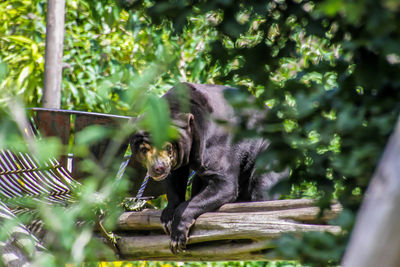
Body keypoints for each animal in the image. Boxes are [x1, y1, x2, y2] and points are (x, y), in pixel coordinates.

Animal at [130, 82, 286, 254]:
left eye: (167, 147)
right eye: (144, 149)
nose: (159, 168)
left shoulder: (216, 141)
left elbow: (224, 185)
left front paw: (177, 237)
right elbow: (175, 177)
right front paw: (168, 215)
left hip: (269, 151)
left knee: (262, 187)